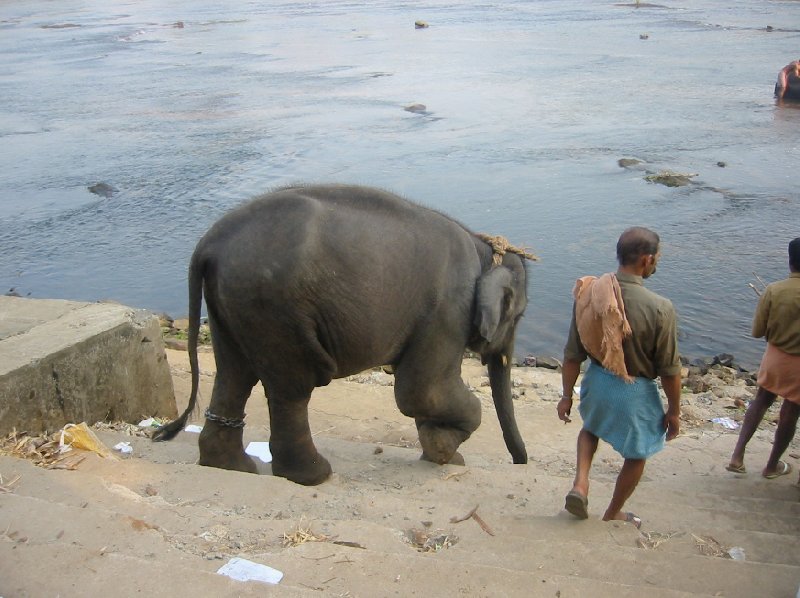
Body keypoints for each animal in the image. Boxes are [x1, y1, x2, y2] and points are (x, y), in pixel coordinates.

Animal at [153, 184, 536, 488]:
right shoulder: (447, 310)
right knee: (291, 388)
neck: (482, 248)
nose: (521, 463)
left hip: (233, 304)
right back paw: (314, 475)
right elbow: (420, 391)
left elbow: (422, 392)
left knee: (234, 374)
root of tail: (208, 244)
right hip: (274, 306)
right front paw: (445, 448)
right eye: (519, 316)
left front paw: (442, 450)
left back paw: (234, 467)